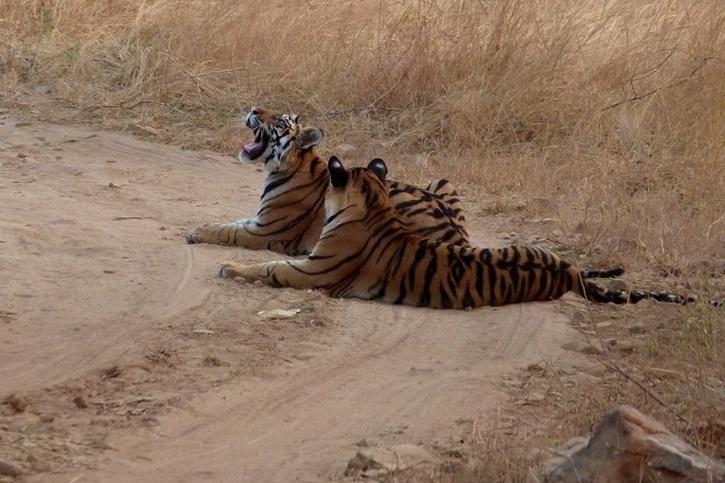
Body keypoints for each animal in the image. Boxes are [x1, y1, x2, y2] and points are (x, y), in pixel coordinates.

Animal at [185, 107, 470, 258]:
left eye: (278, 121)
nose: (254, 109)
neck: (281, 168)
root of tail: (457, 235)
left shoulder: (266, 230)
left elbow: (228, 231)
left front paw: (196, 232)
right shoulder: (258, 220)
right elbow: (230, 222)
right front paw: (202, 226)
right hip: (442, 181)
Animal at [216, 157, 712, 312]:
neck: (374, 205)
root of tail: (565, 275)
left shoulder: (310, 271)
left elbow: (269, 268)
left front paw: (227, 267)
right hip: (538, 250)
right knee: (585, 265)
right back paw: (614, 268)